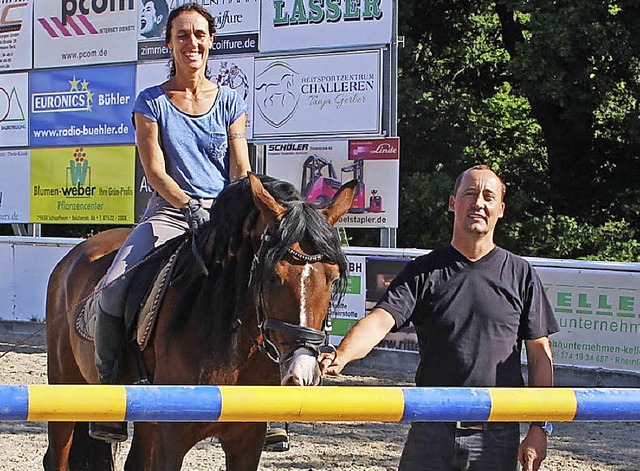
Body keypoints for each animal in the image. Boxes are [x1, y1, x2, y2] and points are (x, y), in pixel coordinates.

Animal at [43, 175, 358, 470]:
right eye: (272, 275)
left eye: (332, 278)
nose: (302, 372)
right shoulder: (172, 439)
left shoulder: (247, 440)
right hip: (64, 388)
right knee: (57, 457)